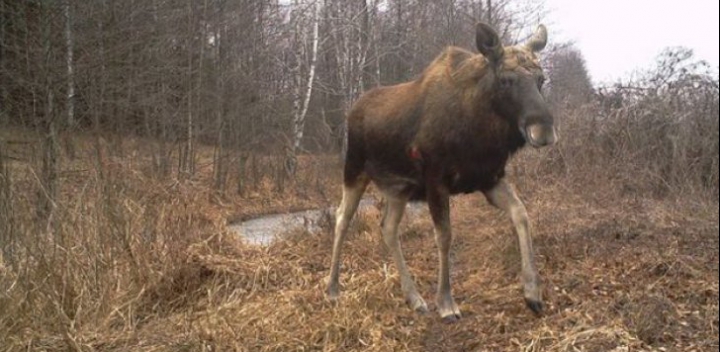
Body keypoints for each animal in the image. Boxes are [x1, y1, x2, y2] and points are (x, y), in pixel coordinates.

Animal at [326, 20, 556, 320]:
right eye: (506, 80)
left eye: (541, 80)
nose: (544, 130)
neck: (481, 131)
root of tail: (352, 111)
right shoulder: (436, 180)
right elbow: (445, 236)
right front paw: (446, 303)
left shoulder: (489, 178)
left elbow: (522, 214)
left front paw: (533, 293)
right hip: (354, 169)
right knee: (342, 217)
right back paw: (332, 288)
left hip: (399, 189)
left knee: (388, 227)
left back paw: (414, 298)